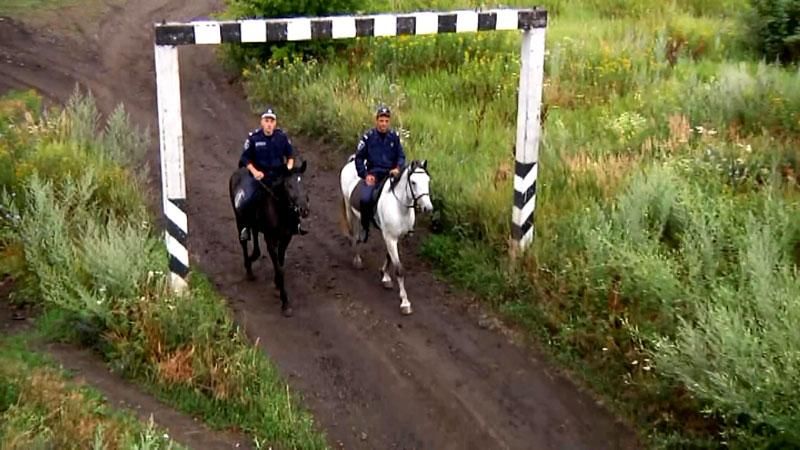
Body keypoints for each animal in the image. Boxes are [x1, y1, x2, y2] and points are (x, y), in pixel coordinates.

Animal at [340, 158, 434, 316]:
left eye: (427, 180)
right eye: (413, 182)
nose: (428, 208)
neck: (399, 208)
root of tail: (351, 161)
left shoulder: (397, 238)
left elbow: (389, 257)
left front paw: (385, 276)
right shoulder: (390, 238)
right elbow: (399, 270)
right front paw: (405, 302)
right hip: (349, 210)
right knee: (354, 234)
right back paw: (357, 259)